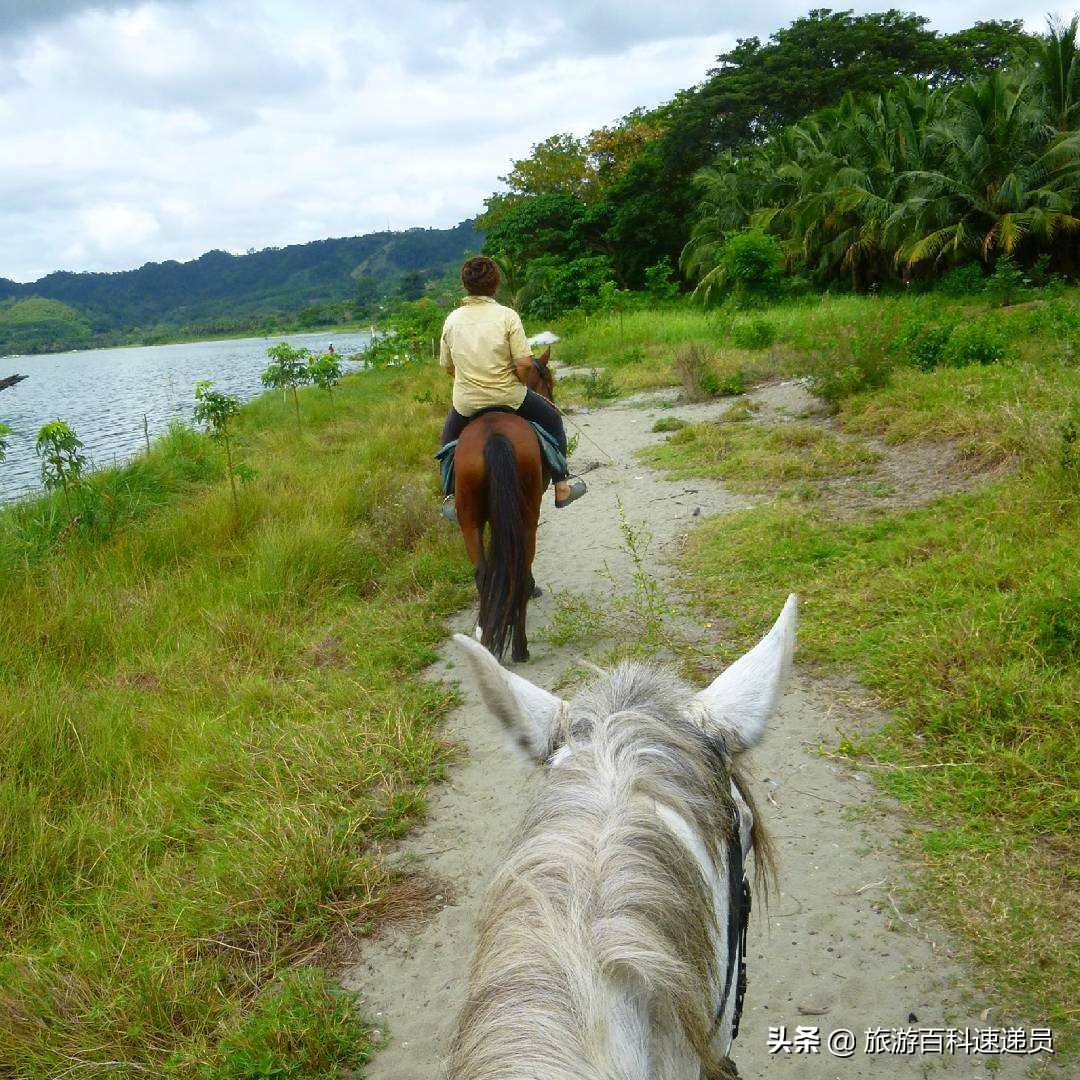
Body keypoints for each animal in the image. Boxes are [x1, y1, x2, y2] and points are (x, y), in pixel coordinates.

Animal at [455, 349, 557, 660]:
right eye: (550, 382)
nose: (553, 400)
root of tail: (495, 435)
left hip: (469, 518)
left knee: (483, 573)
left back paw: (489, 635)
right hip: (527, 513)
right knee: (519, 568)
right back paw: (519, 646)